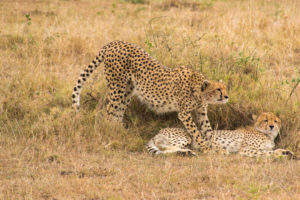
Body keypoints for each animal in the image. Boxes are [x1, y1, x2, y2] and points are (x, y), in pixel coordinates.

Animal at [71, 40, 229, 150]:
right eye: (218, 89)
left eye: (225, 88)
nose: (227, 97)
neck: (199, 90)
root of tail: (115, 42)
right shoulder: (184, 113)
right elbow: (196, 132)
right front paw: (206, 148)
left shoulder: (201, 112)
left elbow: (208, 131)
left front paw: (218, 148)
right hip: (117, 89)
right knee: (109, 113)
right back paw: (111, 135)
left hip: (127, 91)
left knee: (117, 113)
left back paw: (122, 133)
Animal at [146, 111, 294, 158]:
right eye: (266, 120)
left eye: (275, 120)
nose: (272, 126)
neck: (267, 135)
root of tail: (159, 131)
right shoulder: (246, 149)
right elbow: (265, 153)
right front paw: (279, 154)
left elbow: (274, 149)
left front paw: (286, 152)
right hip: (185, 136)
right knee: (162, 146)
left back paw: (187, 152)